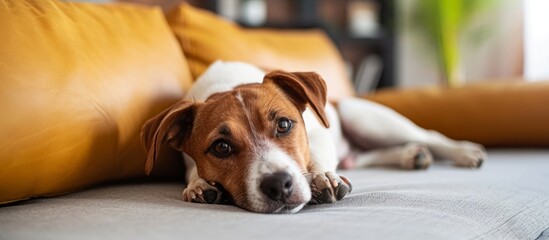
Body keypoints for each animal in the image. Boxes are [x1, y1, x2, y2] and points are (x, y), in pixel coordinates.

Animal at [140, 61, 484, 213]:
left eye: (284, 125)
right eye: (221, 147)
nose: (278, 185)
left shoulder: (319, 134)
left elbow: (316, 156)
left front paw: (322, 177)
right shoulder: (188, 158)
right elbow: (192, 170)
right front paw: (198, 184)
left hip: (368, 118)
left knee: (429, 134)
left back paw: (464, 152)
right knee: (360, 156)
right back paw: (412, 155)